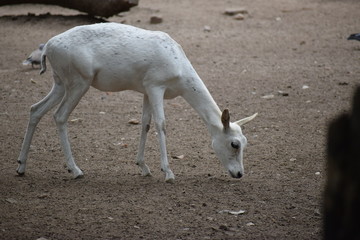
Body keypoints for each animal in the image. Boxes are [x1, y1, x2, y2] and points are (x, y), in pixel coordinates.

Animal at [16, 23, 258, 183]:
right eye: (234, 144)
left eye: (245, 142)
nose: (239, 174)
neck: (178, 63)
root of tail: (48, 46)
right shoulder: (156, 87)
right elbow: (161, 124)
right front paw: (168, 172)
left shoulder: (146, 92)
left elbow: (145, 124)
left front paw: (143, 167)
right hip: (78, 84)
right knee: (59, 116)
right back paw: (75, 170)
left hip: (60, 84)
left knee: (35, 109)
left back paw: (21, 167)